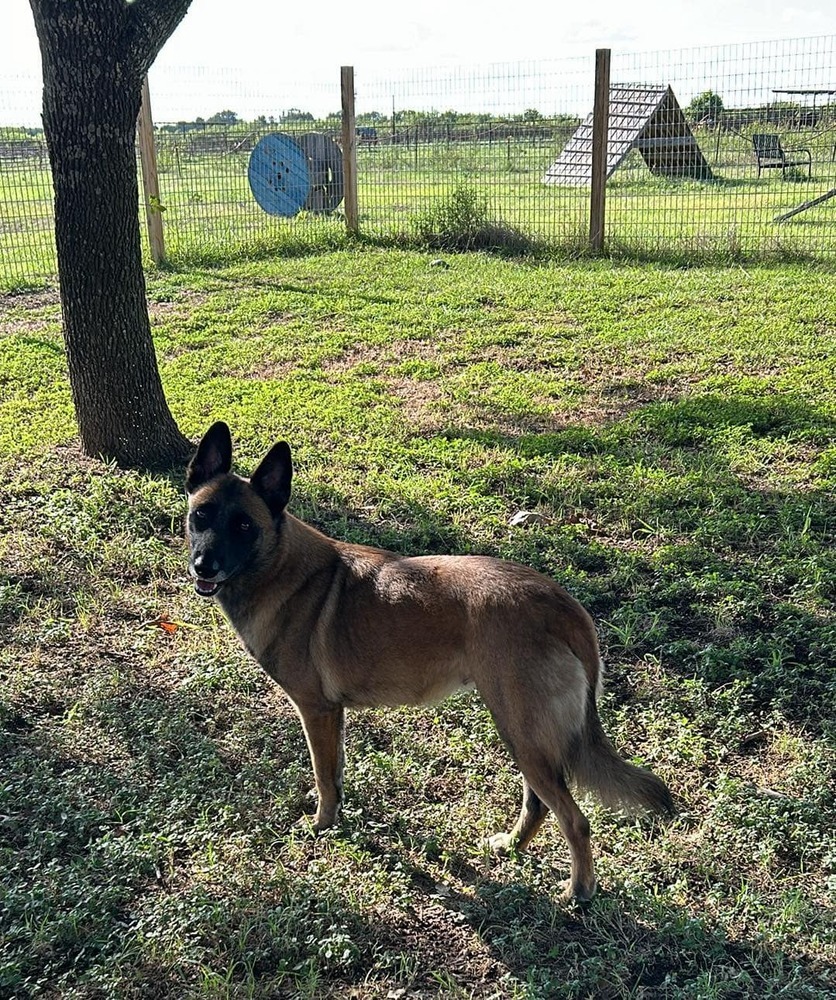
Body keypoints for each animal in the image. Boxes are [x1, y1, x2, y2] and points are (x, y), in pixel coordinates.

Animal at [185, 420, 672, 900]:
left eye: (244, 525)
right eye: (202, 516)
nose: (203, 566)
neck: (277, 566)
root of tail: (564, 604)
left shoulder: (316, 711)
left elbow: (323, 777)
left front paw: (321, 824)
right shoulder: (333, 716)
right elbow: (336, 775)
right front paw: (337, 816)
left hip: (522, 732)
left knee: (574, 818)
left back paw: (578, 891)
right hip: (525, 734)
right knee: (538, 803)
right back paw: (513, 847)